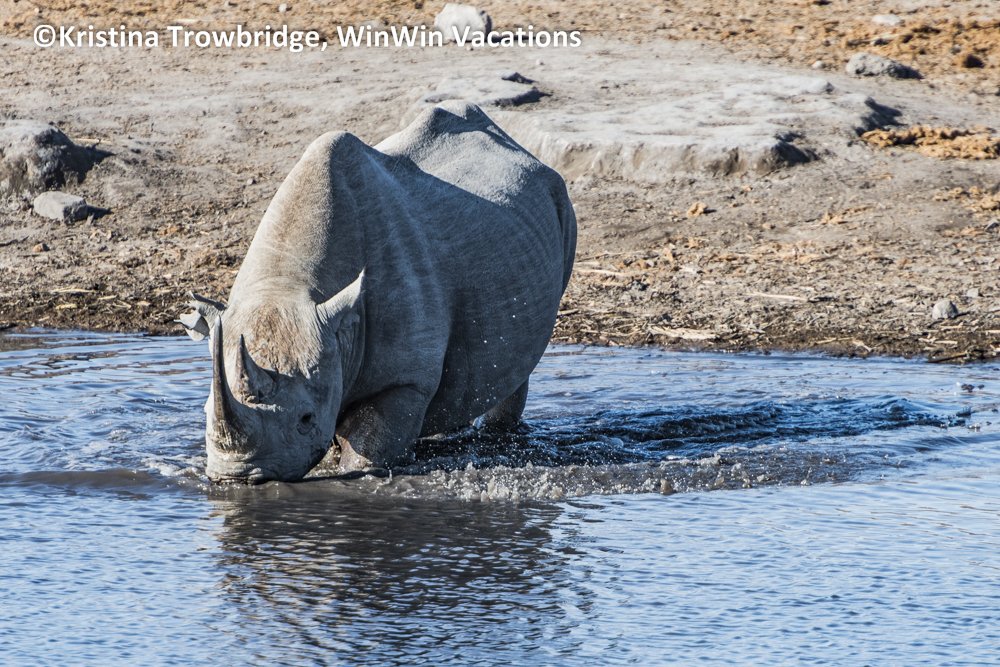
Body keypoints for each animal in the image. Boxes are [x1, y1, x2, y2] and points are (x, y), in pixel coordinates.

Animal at [179, 101, 576, 484]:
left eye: (306, 419)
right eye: (204, 411)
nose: (236, 477)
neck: (288, 283)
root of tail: (514, 143)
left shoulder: (403, 380)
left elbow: (370, 447)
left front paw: (359, 474)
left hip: (559, 200)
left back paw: (495, 435)